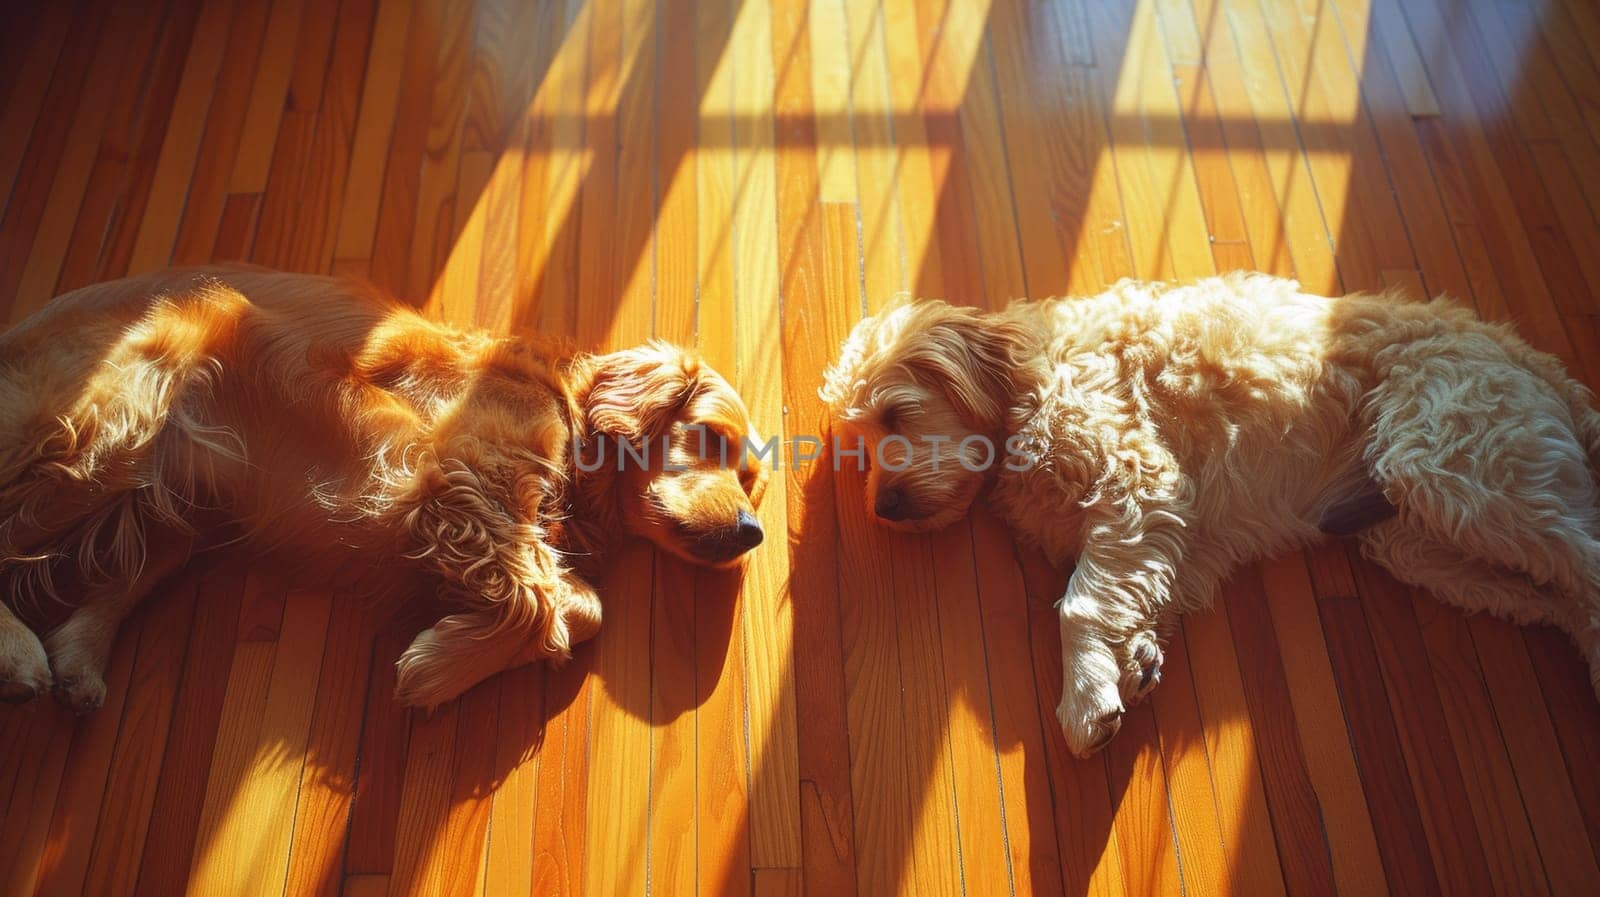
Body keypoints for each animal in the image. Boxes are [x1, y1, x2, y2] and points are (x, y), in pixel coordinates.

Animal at [0, 265, 764, 713]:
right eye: (710, 437)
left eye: (751, 479)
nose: (753, 532)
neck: (569, 413)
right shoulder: (459, 478)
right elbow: (549, 597)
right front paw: (439, 667)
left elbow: (581, 603)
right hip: (121, 415)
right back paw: (19, 654)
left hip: (186, 501)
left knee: (118, 578)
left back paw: (78, 664)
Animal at [825, 273, 1600, 754]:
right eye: (860, 445)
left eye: (897, 414)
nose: (886, 507)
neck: (1030, 380)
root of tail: (1528, 358)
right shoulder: (1174, 536)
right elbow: (1132, 594)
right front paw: (1133, 660)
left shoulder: (1138, 485)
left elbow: (1079, 603)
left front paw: (1085, 698)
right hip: (1426, 545)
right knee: (1560, 593)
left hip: (1454, 469)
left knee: (1587, 560)